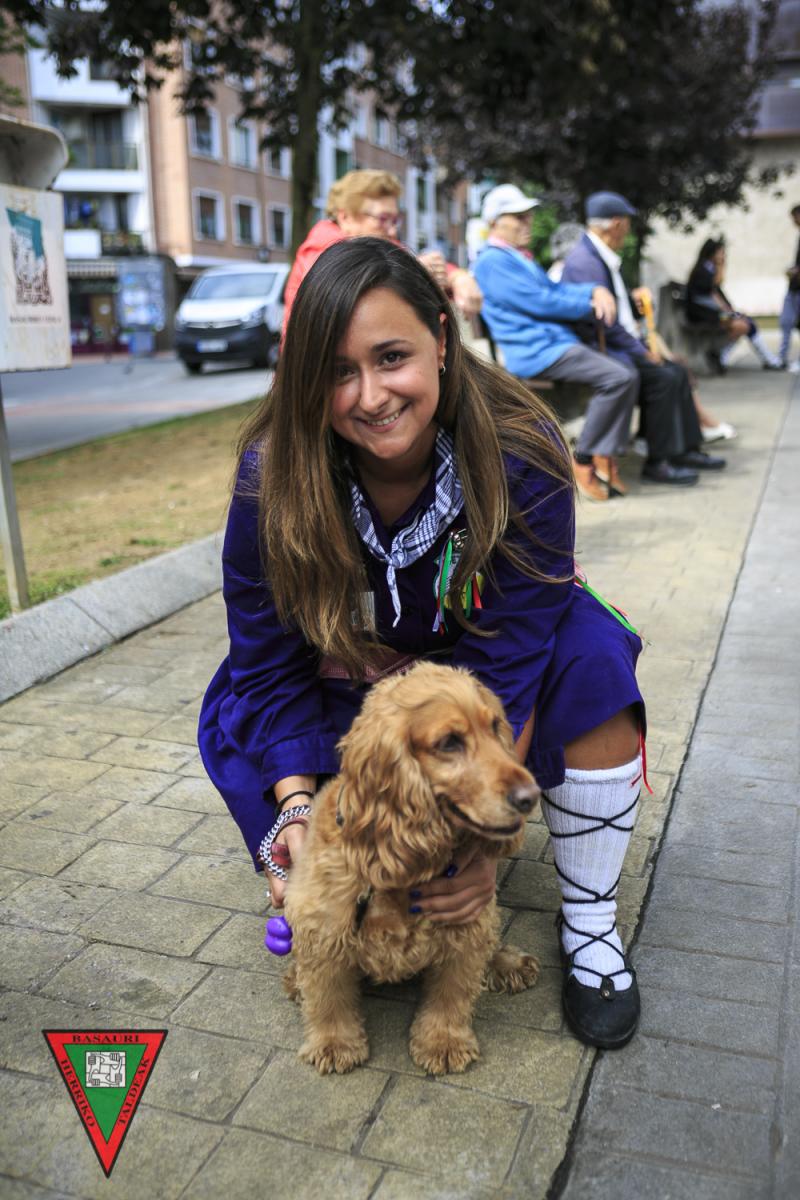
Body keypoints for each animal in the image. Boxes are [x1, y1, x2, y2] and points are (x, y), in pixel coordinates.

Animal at [283, 661, 540, 1076]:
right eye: (449, 742)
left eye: (495, 726)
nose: (530, 797)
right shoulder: (323, 928)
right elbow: (328, 995)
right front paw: (334, 1044)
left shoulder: (466, 922)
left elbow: (453, 992)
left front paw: (444, 1041)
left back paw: (507, 962)